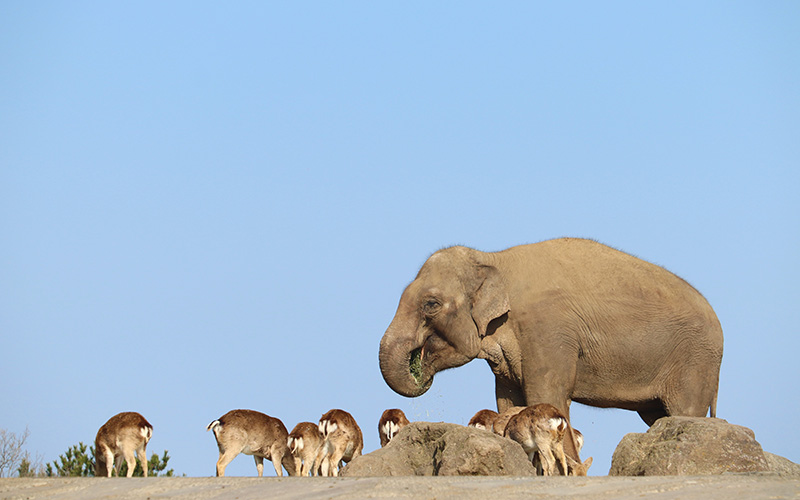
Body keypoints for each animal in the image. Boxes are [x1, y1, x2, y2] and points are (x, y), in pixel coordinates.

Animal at [378, 237, 720, 460]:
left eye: (431, 305)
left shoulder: (548, 334)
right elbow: (508, 403)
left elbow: (546, 397)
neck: (494, 259)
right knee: (658, 418)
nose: (419, 369)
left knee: (684, 412)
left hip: (695, 362)